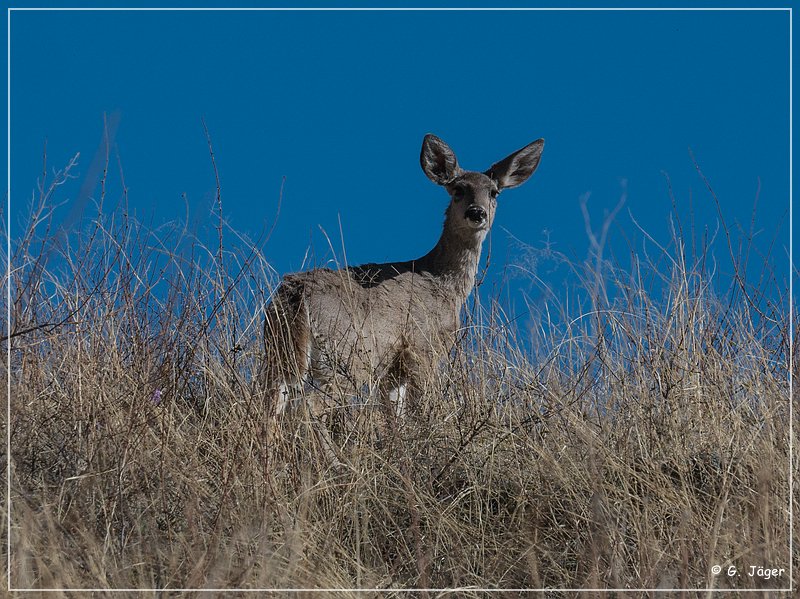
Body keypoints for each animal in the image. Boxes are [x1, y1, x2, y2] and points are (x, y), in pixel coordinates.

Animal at [262, 134, 544, 458]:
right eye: (458, 190)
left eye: (494, 192)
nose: (477, 213)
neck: (442, 282)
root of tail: (297, 295)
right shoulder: (423, 348)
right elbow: (422, 411)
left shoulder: (393, 371)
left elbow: (394, 419)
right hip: (347, 356)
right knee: (308, 406)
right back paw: (336, 462)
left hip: (279, 353)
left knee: (271, 406)